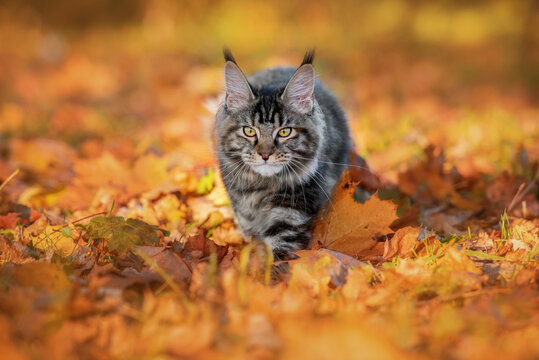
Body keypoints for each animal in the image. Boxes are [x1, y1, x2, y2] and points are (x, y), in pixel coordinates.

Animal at [215, 50, 354, 258]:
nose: (265, 155)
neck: (261, 188)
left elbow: (278, 251)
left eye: (284, 132)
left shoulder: (292, 211)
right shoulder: (243, 210)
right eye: (249, 131)